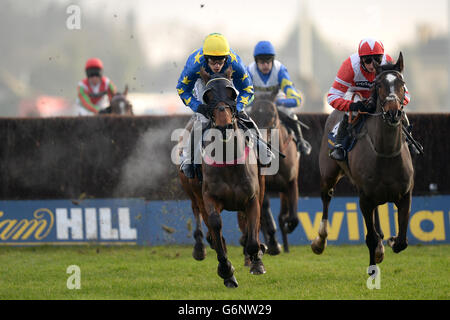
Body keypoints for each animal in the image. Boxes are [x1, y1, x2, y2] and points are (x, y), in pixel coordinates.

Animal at [250, 96, 298, 254]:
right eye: (253, 115)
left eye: (273, 115)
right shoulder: (264, 184)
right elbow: (264, 211)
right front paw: (273, 242)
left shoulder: (292, 182)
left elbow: (293, 215)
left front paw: (289, 225)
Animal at [312, 53, 414, 270]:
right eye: (379, 84)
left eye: (401, 83)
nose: (393, 112)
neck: (385, 153)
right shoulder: (364, 198)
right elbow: (370, 238)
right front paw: (373, 266)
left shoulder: (405, 195)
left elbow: (402, 241)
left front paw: (390, 241)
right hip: (329, 172)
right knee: (326, 196)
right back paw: (320, 241)